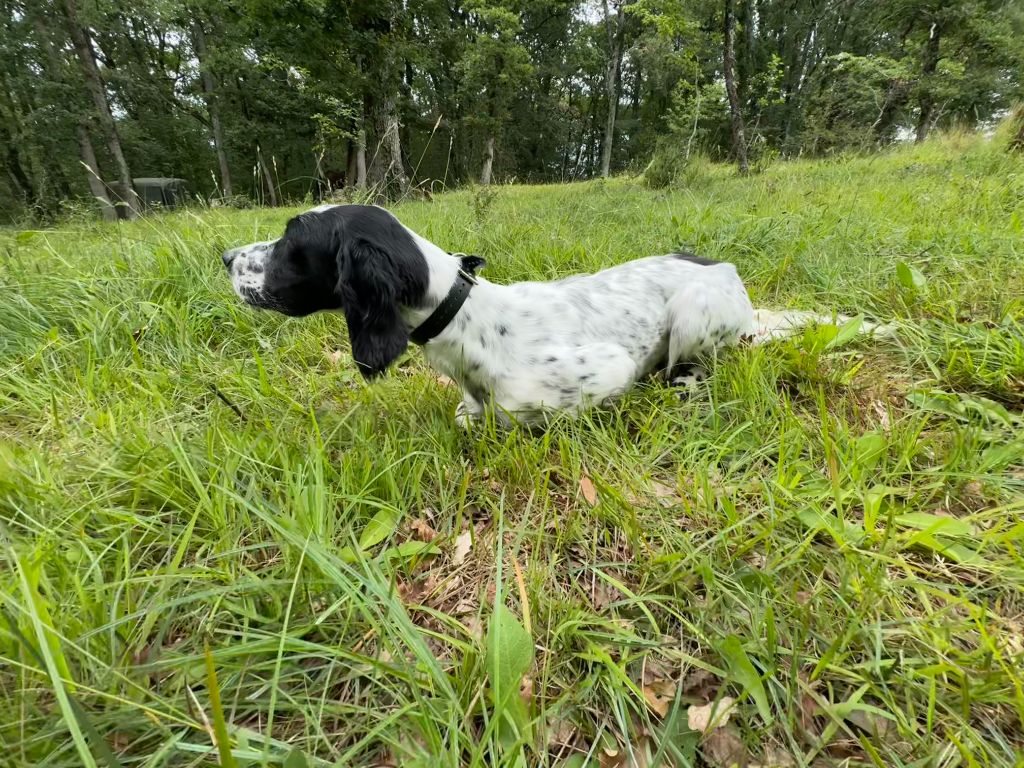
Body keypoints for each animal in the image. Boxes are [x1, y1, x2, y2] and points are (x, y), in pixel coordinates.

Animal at [222, 204, 872, 428]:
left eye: (291, 240)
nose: (225, 256)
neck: (465, 318)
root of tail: (731, 273)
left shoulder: (608, 372)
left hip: (692, 316)